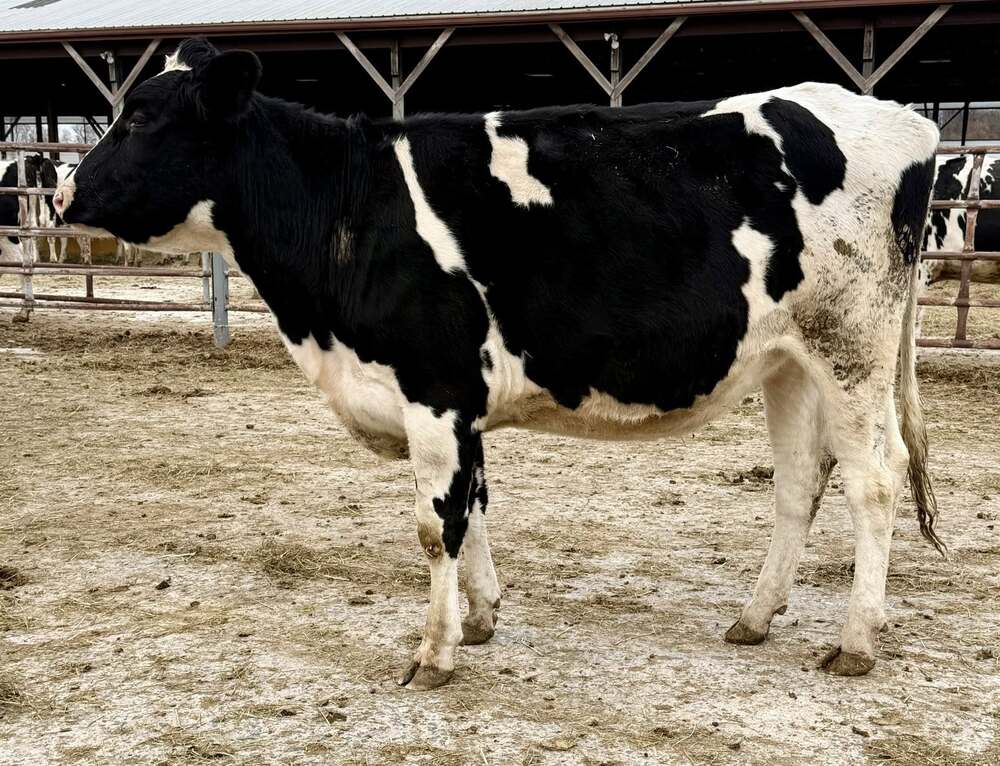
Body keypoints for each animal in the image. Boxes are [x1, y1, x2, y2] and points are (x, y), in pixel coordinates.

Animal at [55, 39, 943, 689]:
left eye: (141, 119)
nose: (64, 199)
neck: (343, 210)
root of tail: (900, 118)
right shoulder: (459, 403)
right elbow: (473, 505)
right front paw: (481, 620)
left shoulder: (435, 388)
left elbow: (435, 523)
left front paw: (434, 653)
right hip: (789, 359)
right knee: (798, 484)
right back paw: (754, 619)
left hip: (850, 347)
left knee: (875, 478)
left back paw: (854, 642)